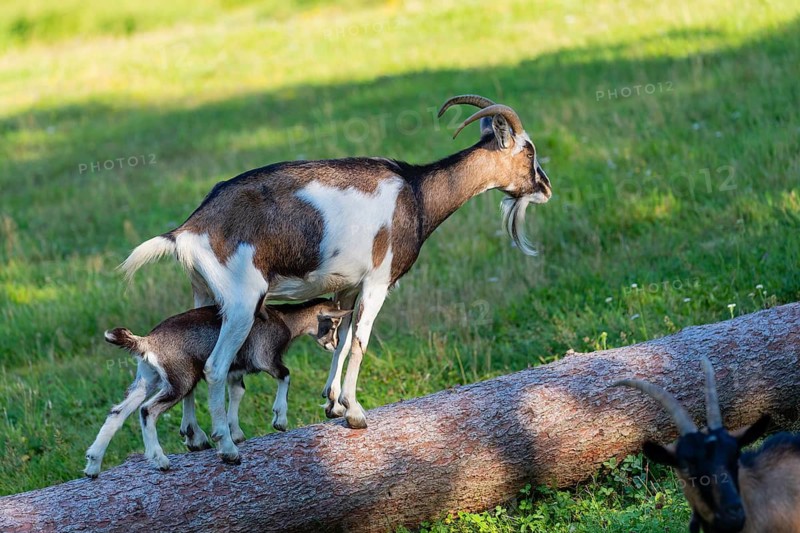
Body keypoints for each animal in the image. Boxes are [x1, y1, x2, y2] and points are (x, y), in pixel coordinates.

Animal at [84, 299, 351, 476]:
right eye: (333, 323)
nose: (334, 344)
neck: (284, 319)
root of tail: (146, 342)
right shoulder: (265, 357)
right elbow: (285, 375)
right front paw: (280, 419)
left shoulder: (236, 369)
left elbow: (237, 393)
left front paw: (236, 433)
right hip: (180, 379)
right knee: (148, 410)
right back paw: (160, 460)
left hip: (148, 379)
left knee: (118, 412)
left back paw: (93, 464)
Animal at [120, 94, 552, 462]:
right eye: (528, 150)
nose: (546, 188)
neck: (416, 194)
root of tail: (189, 228)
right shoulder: (378, 281)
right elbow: (360, 341)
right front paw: (355, 412)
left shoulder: (345, 286)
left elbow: (341, 340)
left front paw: (332, 403)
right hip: (242, 303)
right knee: (214, 366)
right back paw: (226, 446)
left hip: (204, 296)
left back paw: (194, 437)